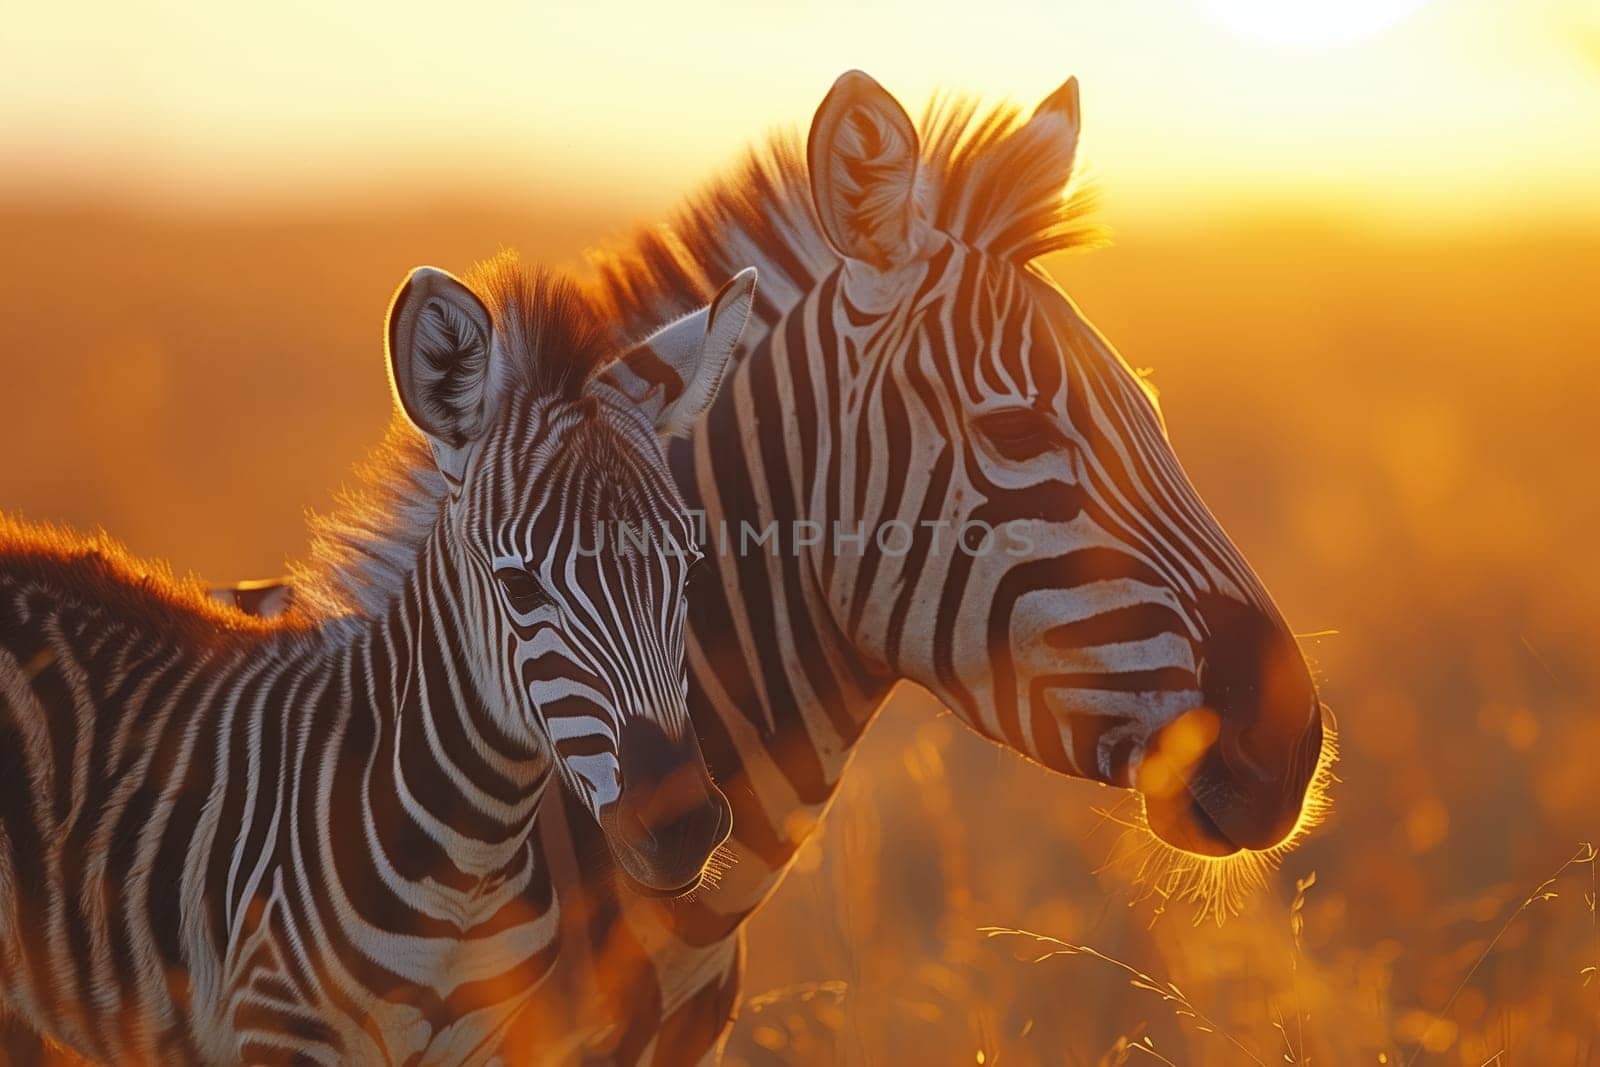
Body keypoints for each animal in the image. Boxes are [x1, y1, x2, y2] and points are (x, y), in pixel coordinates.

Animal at [0, 254, 758, 1062]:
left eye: (688, 569)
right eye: (520, 585)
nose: (680, 827)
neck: (466, 872)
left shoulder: (489, 1039)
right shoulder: (279, 1030)